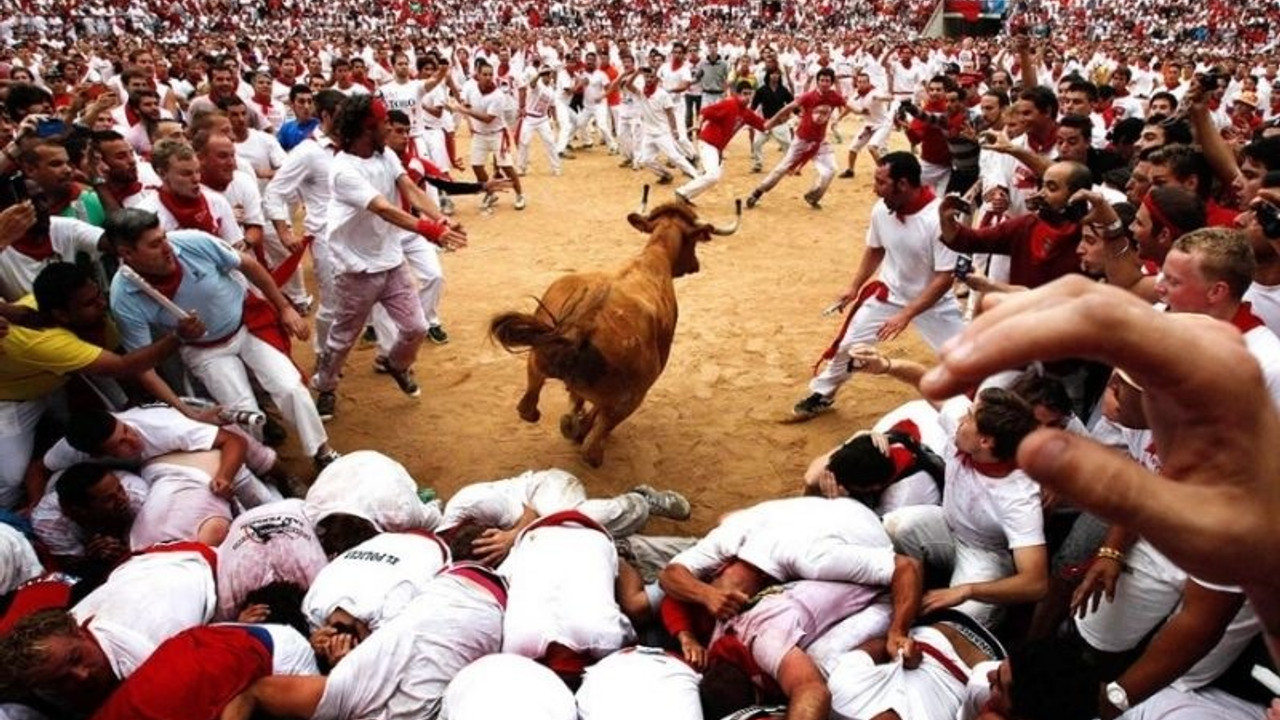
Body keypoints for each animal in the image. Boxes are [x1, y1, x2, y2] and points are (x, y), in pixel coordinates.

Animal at [486, 185, 742, 466]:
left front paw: (573, 421)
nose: (696, 266)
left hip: (536, 360)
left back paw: (566, 422)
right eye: (695, 241)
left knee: (529, 407)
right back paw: (589, 443)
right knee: (594, 440)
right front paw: (579, 426)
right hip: (632, 396)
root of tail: (581, 325)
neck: (654, 258)